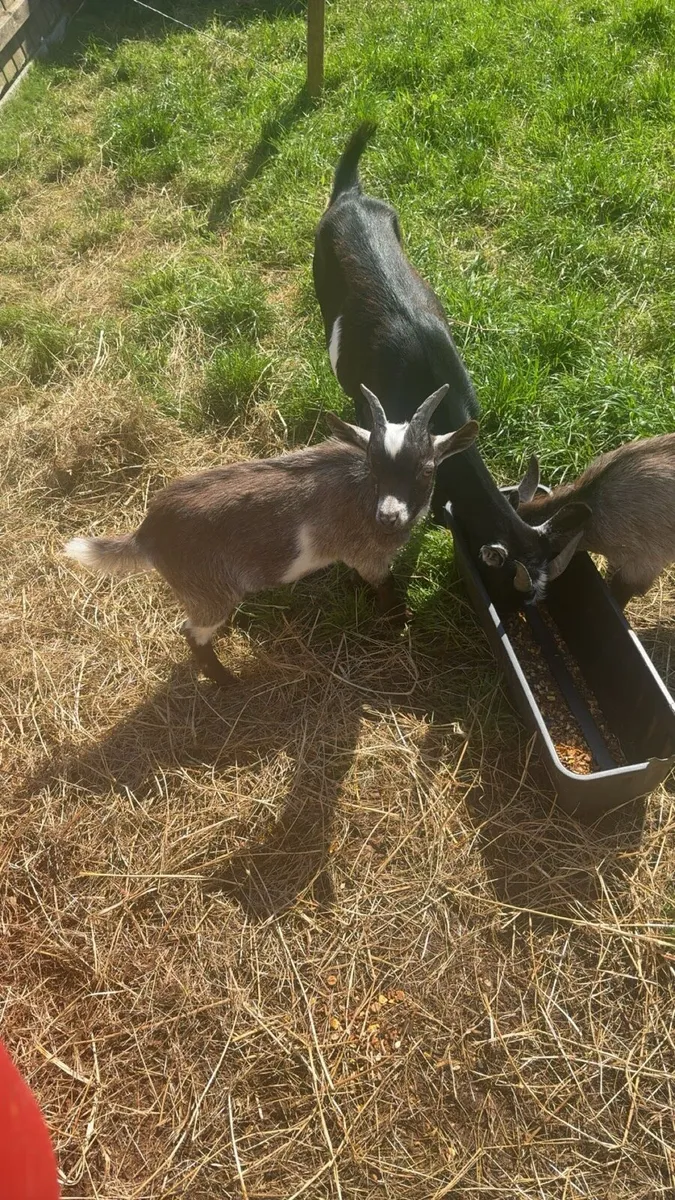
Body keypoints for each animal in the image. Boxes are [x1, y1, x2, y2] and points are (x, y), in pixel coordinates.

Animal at [64, 390, 477, 685]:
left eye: (426, 469)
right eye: (374, 466)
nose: (389, 517)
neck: (364, 494)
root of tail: (147, 531)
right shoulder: (370, 556)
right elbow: (386, 587)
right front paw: (399, 622)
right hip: (208, 592)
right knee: (191, 632)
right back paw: (227, 681)